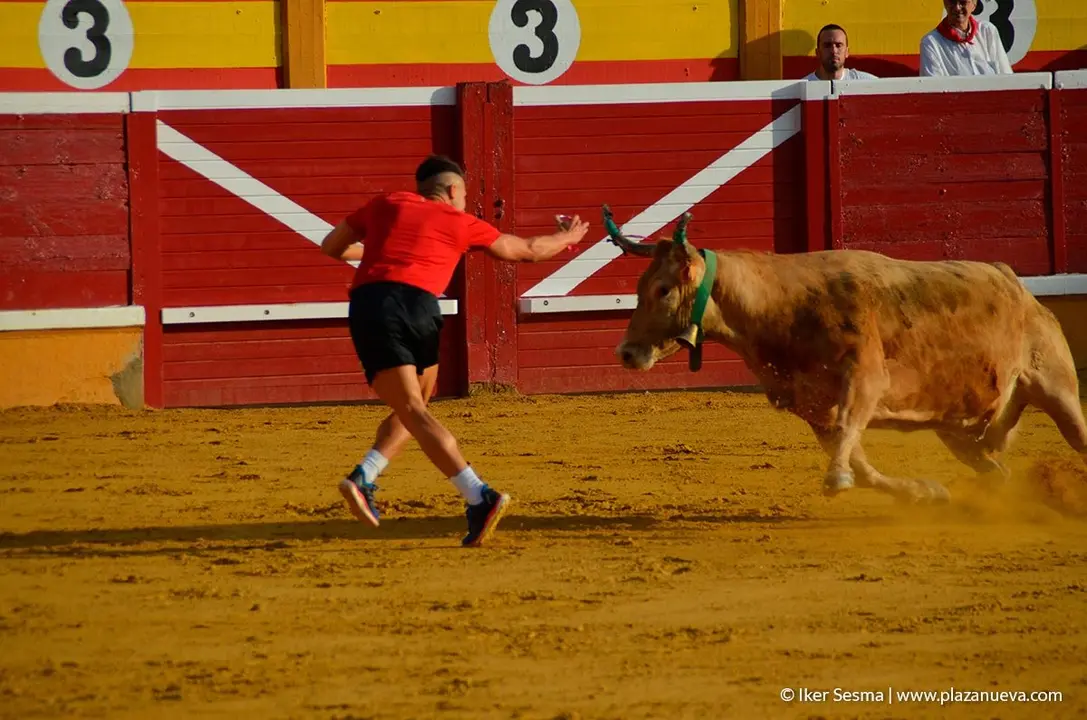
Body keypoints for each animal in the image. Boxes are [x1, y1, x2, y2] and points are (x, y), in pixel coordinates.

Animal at [603, 205, 1087, 504]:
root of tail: (1019, 286)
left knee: (1078, 435)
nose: (626, 352)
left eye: (663, 290)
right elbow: (854, 454)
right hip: (958, 426)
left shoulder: (865, 377)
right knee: (987, 455)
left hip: (1056, 384)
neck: (781, 304)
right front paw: (922, 492)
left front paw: (837, 480)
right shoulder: (811, 404)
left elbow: (849, 431)